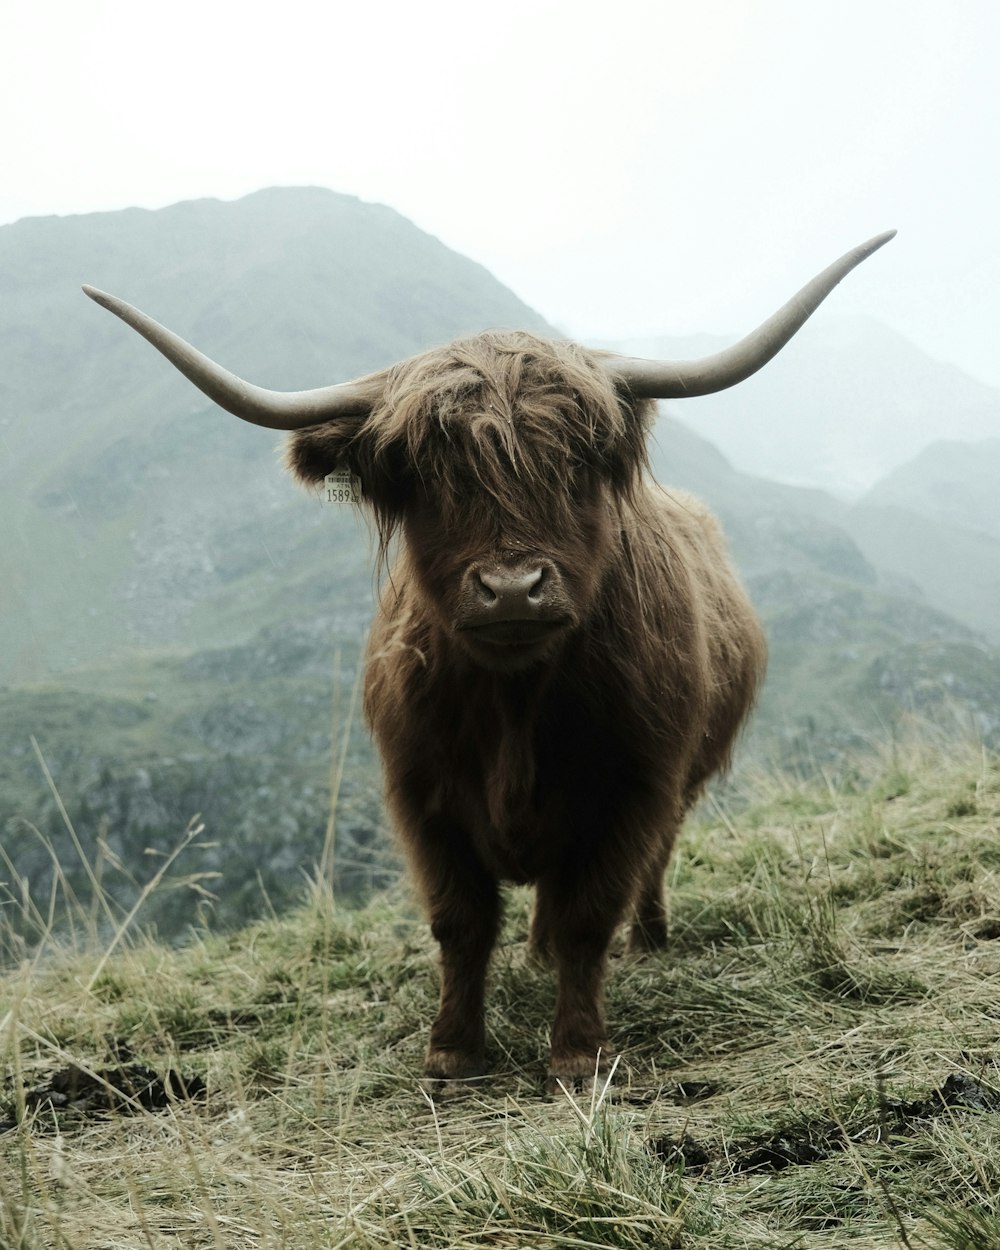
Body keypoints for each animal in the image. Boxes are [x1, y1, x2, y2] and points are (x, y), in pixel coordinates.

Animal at [86, 230, 895, 1090]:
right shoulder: (420, 796)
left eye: (576, 463)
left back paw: (647, 940)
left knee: (647, 869)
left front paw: (577, 1052)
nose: (513, 589)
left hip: (679, 785)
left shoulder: (633, 786)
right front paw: (451, 1050)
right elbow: (460, 922)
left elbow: (588, 917)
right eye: (425, 476)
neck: (514, 705)